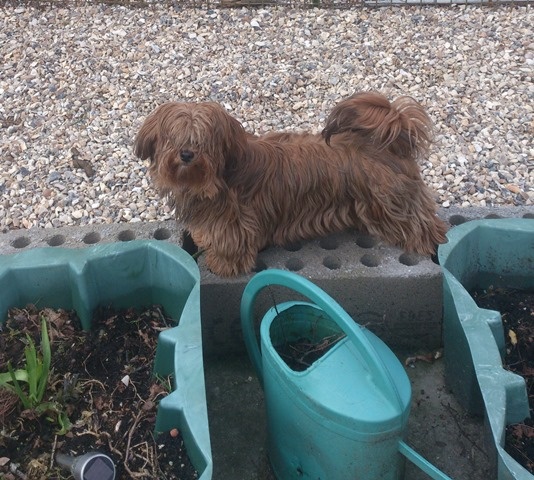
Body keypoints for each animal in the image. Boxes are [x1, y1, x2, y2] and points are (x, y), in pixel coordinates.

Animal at [134, 92, 447, 277]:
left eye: (203, 141)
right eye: (172, 137)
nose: (186, 154)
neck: (222, 176)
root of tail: (394, 139)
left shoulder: (235, 225)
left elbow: (230, 249)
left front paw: (221, 266)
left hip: (394, 204)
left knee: (425, 227)